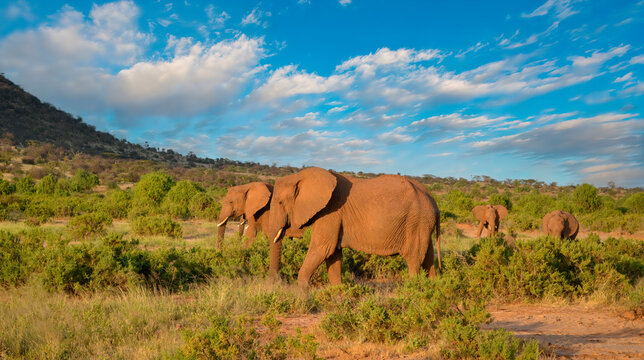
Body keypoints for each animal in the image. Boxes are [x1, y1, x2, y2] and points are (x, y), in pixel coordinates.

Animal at [264, 167, 440, 288]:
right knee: (428, 257)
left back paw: (412, 290)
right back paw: (432, 287)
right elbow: (333, 254)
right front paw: (337, 292)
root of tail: (432, 200)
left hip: (416, 221)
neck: (301, 176)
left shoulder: (331, 212)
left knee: (414, 259)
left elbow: (322, 248)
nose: (276, 282)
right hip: (423, 224)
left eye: (280, 202)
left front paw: (301, 294)